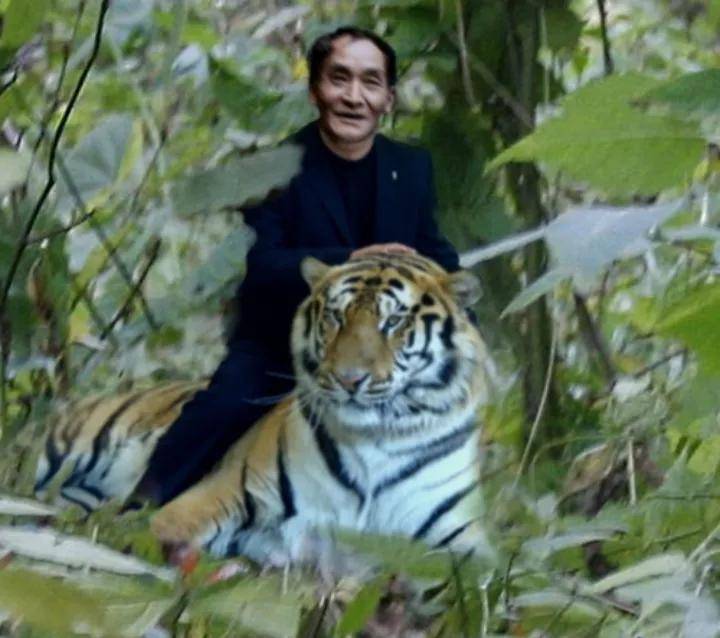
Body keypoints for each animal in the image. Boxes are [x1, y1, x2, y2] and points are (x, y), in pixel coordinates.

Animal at [35, 253, 494, 564]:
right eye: (335, 317)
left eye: (394, 322)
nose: (349, 380)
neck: (376, 439)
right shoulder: (226, 492)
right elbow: (162, 530)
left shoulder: (459, 538)